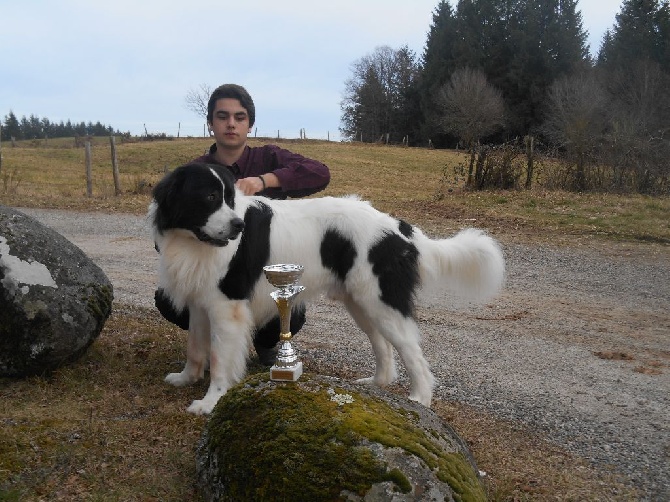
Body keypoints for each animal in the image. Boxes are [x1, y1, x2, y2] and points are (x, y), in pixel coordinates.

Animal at [148, 163, 504, 414]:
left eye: (228, 198)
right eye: (209, 197)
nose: (238, 226)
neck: (192, 240)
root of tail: (399, 228)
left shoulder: (227, 305)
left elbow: (220, 357)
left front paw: (210, 401)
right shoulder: (200, 301)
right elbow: (195, 348)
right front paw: (186, 378)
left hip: (381, 301)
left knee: (412, 352)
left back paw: (419, 399)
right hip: (361, 302)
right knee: (383, 345)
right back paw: (375, 384)